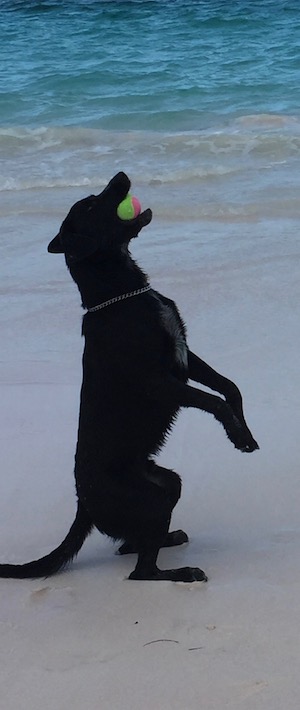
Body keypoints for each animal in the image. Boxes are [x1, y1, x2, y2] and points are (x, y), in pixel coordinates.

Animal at [0, 172, 258, 584]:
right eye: (91, 205)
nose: (121, 176)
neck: (122, 293)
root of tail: (84, 505)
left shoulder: (185, 355)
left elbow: (229, 386)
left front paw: (245, 432)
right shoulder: (161, 382)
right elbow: (213, 400)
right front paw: (235, 432)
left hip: (167, 486)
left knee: (131, 545)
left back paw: (170, 539)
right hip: (150, 499)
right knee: (141, 571)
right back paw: (182, 572)